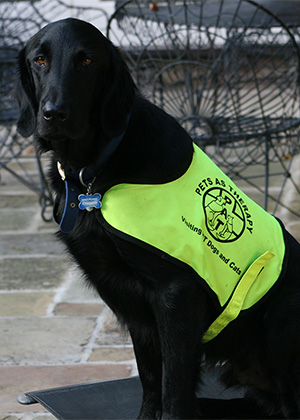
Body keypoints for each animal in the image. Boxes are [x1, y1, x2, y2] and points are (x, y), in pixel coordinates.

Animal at [15, 18, 300, 418]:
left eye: (87, 61)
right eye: (39, 59)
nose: (54, 114)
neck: (95, 169)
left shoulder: (175, 294)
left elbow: (174, 386)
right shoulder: (132, 301)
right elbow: (151, 379)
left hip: (280, 319)